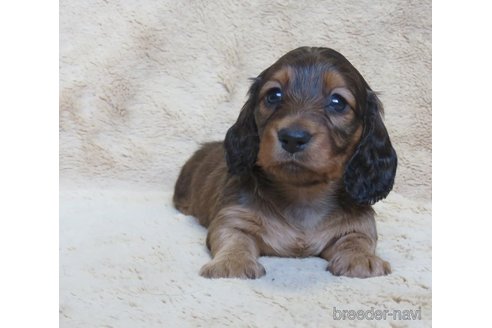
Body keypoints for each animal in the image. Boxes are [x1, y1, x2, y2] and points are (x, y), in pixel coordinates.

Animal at [173, 46, 396, 280]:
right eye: (273, 95)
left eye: (338, 102)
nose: (292, 138)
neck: (303, 195)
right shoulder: (232, 217)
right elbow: (234, 238)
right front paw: (232, 262)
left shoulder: (358, 225)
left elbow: (357, 239)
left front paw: (361, 258)